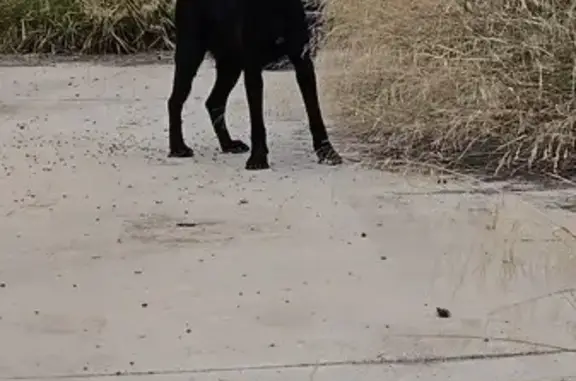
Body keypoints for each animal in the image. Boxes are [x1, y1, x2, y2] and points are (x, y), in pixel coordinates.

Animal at [166, 0, 342, 169]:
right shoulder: (253, 68)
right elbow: (257, 120)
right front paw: (258, 158)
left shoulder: (303, 62)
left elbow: (315, 113)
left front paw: (327, 152)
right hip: (190, 53)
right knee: (175, 101)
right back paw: (178, 148)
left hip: (231, 64)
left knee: (214, 102)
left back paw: (228, 144)